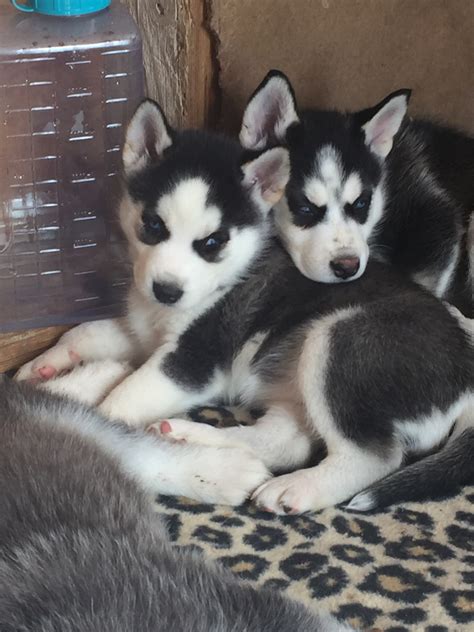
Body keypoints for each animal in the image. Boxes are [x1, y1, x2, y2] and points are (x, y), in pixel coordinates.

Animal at [16, 100, 474, 512]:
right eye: (153, 225)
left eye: (212, 242)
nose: (166, 290)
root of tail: (467, 371)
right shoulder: (146, 329)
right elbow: (88, 330)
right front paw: (45, 366)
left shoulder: (192, 358)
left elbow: (121, 401)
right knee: (287, 441)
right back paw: (190, 435)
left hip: (338, 341)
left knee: (371, 456)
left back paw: (298, 487)